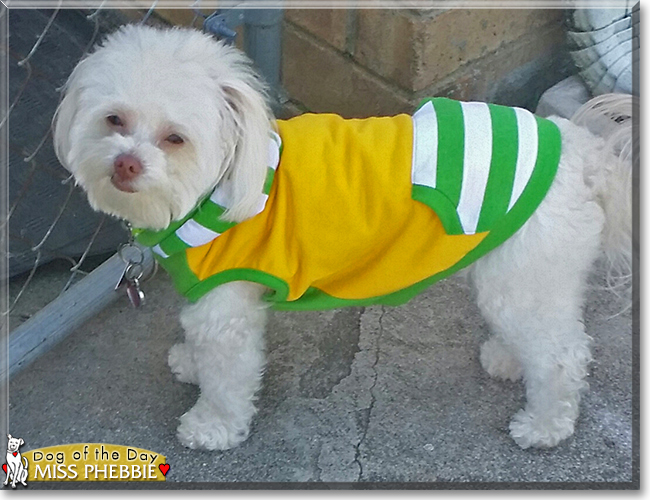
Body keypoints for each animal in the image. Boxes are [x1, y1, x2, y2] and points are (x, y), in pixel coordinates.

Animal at [53, 25, 632, 452]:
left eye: (175, 138)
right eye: (114, 119)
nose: (126, 164)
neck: (223, 179)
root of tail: (585, 154)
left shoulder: (225, 309)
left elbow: (227, 374)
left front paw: (212, 426)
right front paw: (191, 366)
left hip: (525, 280)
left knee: (562, 354)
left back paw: (545, 426)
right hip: (517, 274)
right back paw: (510, 360)